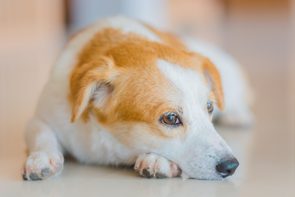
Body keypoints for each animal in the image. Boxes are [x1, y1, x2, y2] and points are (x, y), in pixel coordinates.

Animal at [23, 16, 252, 181]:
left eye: (209, 107)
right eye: (170, 118)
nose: (231, 166)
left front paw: (156, 160)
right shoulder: (41, 117)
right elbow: (43, 134)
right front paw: (43, 157)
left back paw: (238, 115)